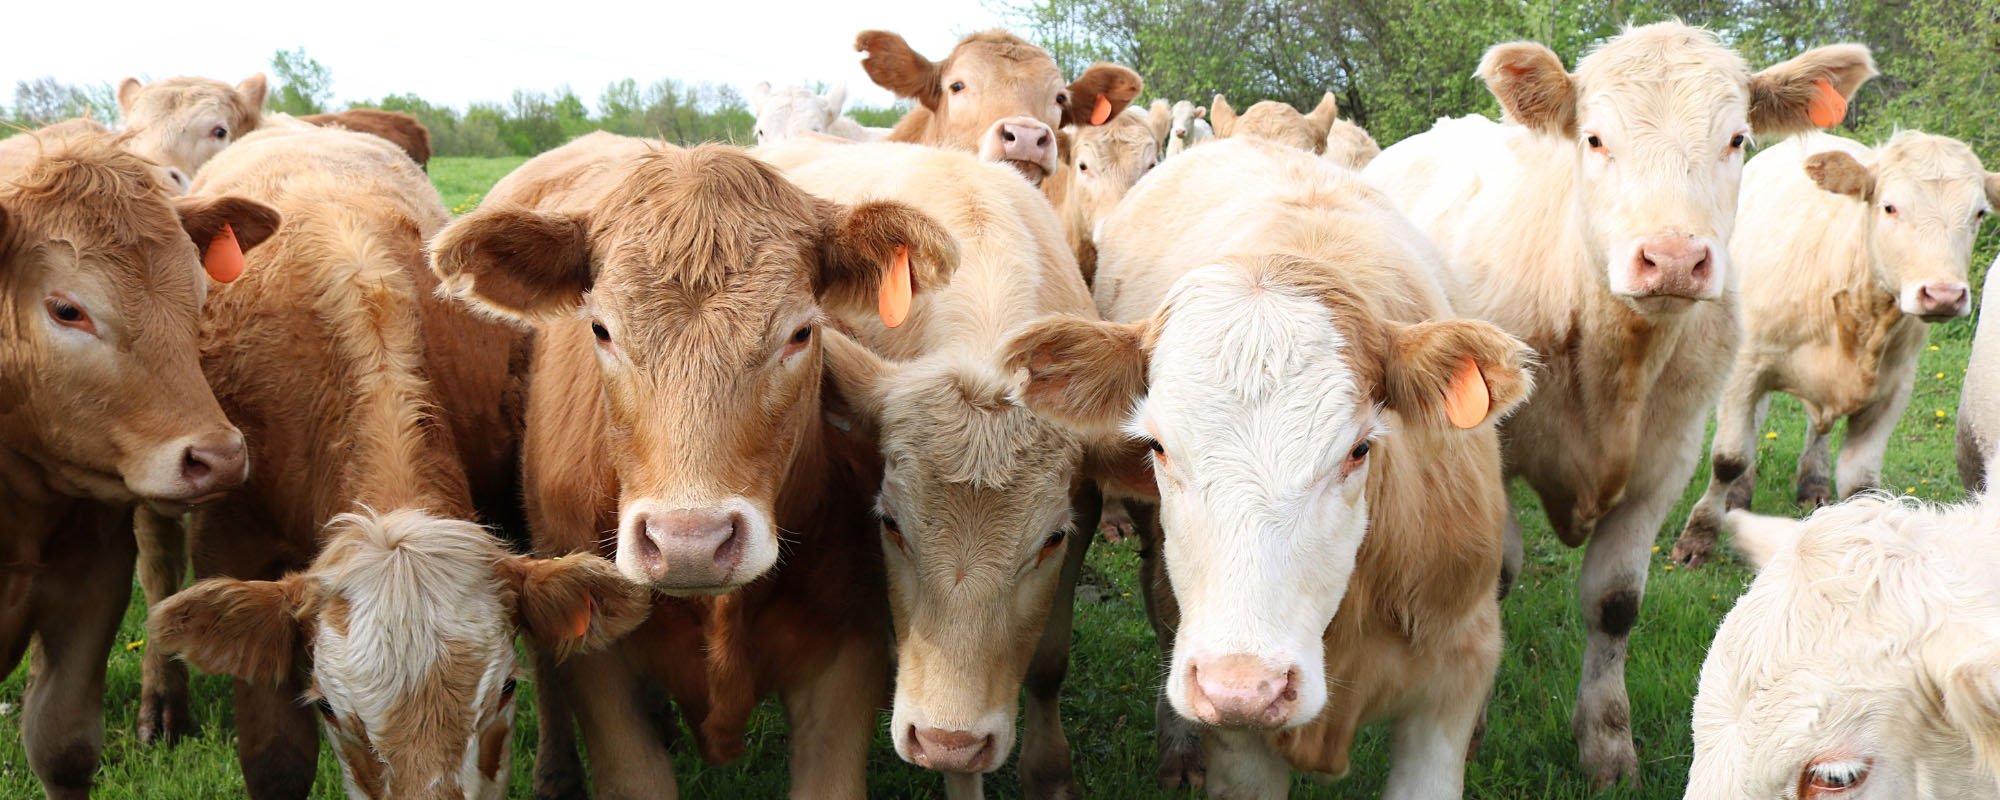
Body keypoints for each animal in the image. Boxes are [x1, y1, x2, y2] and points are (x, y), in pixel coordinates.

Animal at [1361, 21, 1876, 788]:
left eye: (1737, 139)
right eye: (1595, 138)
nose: (1672, 259)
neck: (1616, 361)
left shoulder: (1665, 463)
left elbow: (1614, 604)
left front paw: (1606, 747)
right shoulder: (1492, 450)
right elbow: (1496, 578)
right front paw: (1472, 728)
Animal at [1674, 131, 1996, 564]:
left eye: (1979, 213)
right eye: (1889, 206)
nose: (1943, 295)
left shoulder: (1894, 388)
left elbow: (1860, 483)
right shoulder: (1746, 367)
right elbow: (1728, 458)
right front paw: (1698, 538)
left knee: (1816, 429)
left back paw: (1813, 481)